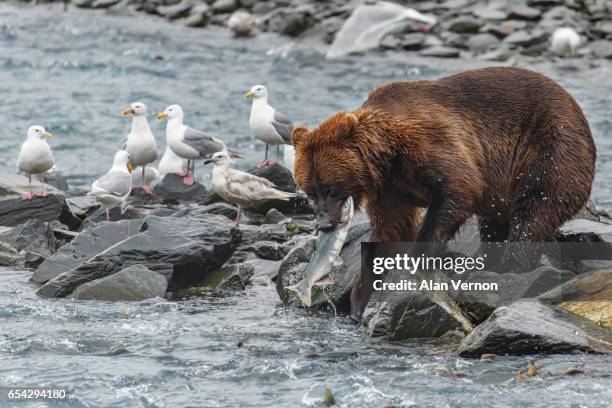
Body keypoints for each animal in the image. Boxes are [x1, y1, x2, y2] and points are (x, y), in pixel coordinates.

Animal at [292, 67, 596, 320]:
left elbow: (457, 189)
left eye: (331, 188)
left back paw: (511, 265)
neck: (386, 156)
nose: (324, 223)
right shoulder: (391, 187)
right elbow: (390, 230)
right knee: (495, 224)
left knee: (534, 211)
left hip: (549, 148)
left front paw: (418, 260)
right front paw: (360, 301)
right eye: (310, 192)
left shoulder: (432, 145)